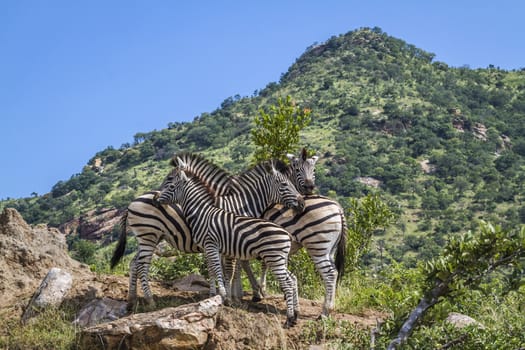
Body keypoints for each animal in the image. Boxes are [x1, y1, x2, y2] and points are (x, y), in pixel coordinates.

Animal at [111, 157, 308, 308]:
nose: (302, 204)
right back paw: (150, 300)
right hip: (149, 236)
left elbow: (224, 268)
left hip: (149, 238)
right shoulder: (231, 239)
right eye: (285, 184)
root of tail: (132, 202)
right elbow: (232, 269)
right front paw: (236, 296)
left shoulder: (230, 240)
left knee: (134, 263)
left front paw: (225, 294)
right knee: (142, 265)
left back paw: (132, 300)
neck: (240, 204)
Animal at [158, 161, 300, 328]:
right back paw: (294, 316)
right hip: (277, 259)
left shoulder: (212, 245)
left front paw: (225, 297)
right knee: (292, 279)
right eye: (284, 184)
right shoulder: (212, 247)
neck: (202, 214)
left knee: (288, 283)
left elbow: (221, 271)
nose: (156, 198)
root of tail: (286, 234)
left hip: (275, 258)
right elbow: (215, 270)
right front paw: (217, 295)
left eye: (171, 185)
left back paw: (289, 319)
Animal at [177, 150, 348, 318]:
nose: (309, 188)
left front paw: (241, 293)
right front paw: (249, 292)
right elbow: (241, 264)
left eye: (314, 170)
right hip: (327, 249)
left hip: (317, 245)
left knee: (330, 274)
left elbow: (236, 266)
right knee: (334, 272)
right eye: (298, 169)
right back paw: (328, 307)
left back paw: (325, 311)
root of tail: (338, 207)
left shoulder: (234, 238)